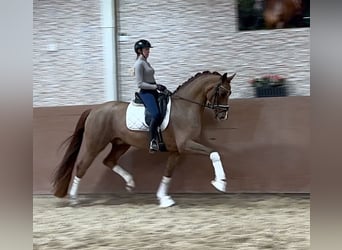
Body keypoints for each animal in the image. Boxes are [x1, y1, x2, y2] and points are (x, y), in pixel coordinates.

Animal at [52, 71, 235, 207]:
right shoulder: (185, 145)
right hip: (95, 144)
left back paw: (130, 182)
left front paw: (164, 199)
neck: (185, 107)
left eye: (230, 92)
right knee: (82, 166)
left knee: (108, 161)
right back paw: (74, 199)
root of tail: (94, 110)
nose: (223, 116)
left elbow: (168, 173)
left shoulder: (176, 151)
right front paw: (220, 183)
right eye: (222, 92)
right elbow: (214, 153)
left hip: (121, 144)